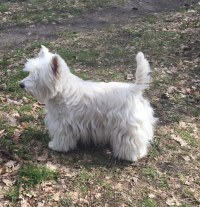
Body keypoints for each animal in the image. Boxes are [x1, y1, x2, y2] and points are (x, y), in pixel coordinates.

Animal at [19, 45, 155, 162]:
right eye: (30, 72)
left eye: (38, 77)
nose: (21, 85)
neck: (61, 90)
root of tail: (134, 89)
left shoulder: (62, 123)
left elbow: (61, 136)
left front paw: (56, 146)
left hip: (126, 126)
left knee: (131, 140)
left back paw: (130, 156)